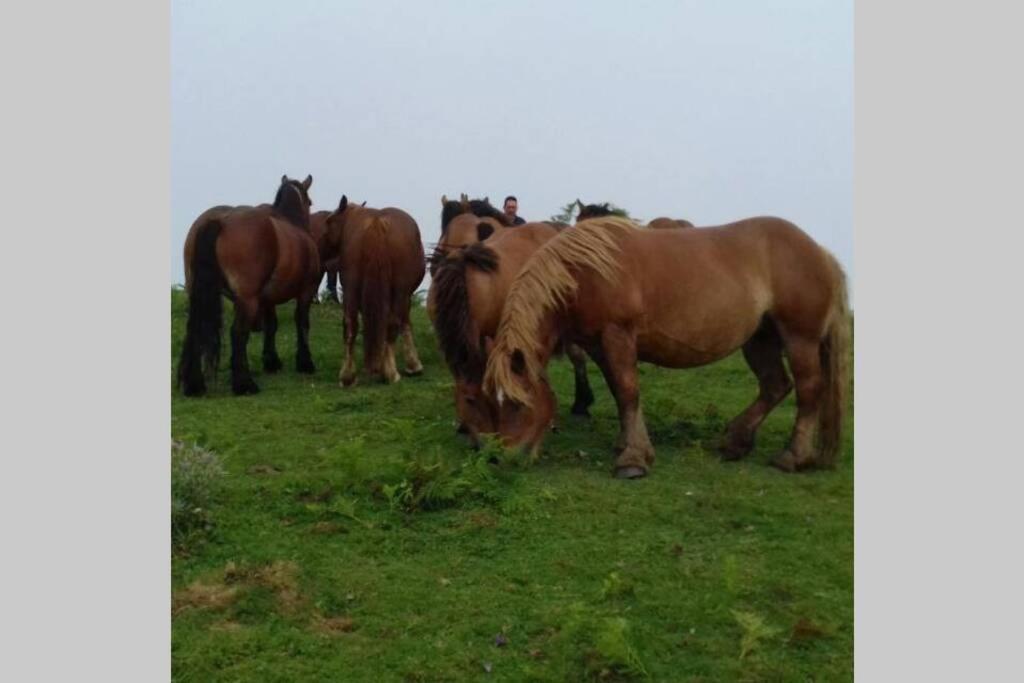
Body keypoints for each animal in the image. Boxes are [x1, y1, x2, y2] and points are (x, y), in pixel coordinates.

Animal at [176, 175, 319, 395]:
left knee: (194, 330)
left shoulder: (267, 299)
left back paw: (194, 385)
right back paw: (244, 384)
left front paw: (271, 362)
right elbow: (302, 323)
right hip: (247, 299)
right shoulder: (306, 291)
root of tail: (220, 220)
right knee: (238, 333)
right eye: (309, 202)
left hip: (197, 294)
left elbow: (271, 326)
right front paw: (305, 363)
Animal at [323, 194, 428, 385]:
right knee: (392, 323)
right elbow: (405, 322)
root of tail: (376, 223)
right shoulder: (405, 295)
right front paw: (413, 365)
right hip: (399, 292)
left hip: (351, 288)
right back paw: (391, 373)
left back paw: (348, 376)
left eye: (329, 221)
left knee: (350, 324)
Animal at [483, 216, 851, 479]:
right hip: (760, 339)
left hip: (799, 339)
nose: (499, 456)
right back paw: (735, 442)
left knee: (808, 390)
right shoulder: (598, 346)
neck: (584, 272)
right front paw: (626, 445)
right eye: (494, 402)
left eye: (517, 403)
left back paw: (792, 456)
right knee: (775, 386)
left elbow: (628, 391)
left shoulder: (617, 336)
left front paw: (632, 460)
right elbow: (618, 392)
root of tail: (820, 251)